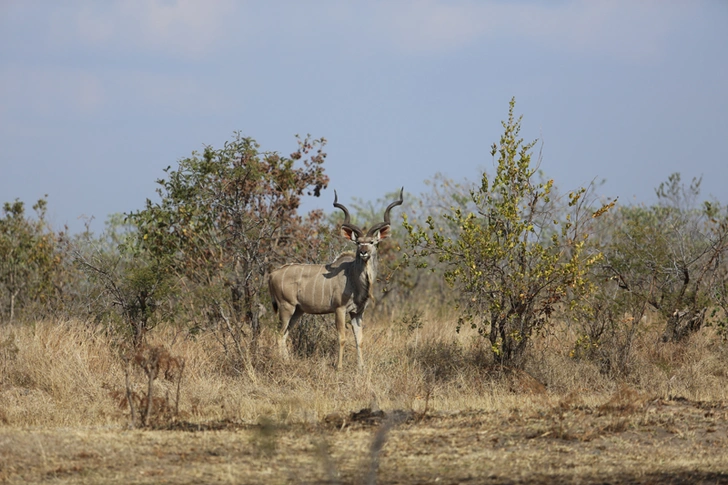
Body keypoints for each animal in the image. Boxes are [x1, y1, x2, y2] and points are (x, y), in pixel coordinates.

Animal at [268, 187, 404, 368]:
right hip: (286, 307)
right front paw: (339, 367)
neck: (354, 278)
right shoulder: (339, 309)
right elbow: (342, 338)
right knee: (279, 335)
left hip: (298, 310)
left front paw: (361, 367)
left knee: (284, 334)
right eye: (358, 242)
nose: (364, 252)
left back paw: (288, 362)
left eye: (373, 242)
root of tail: (272, 274)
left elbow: (359, 340)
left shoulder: (357, 313)